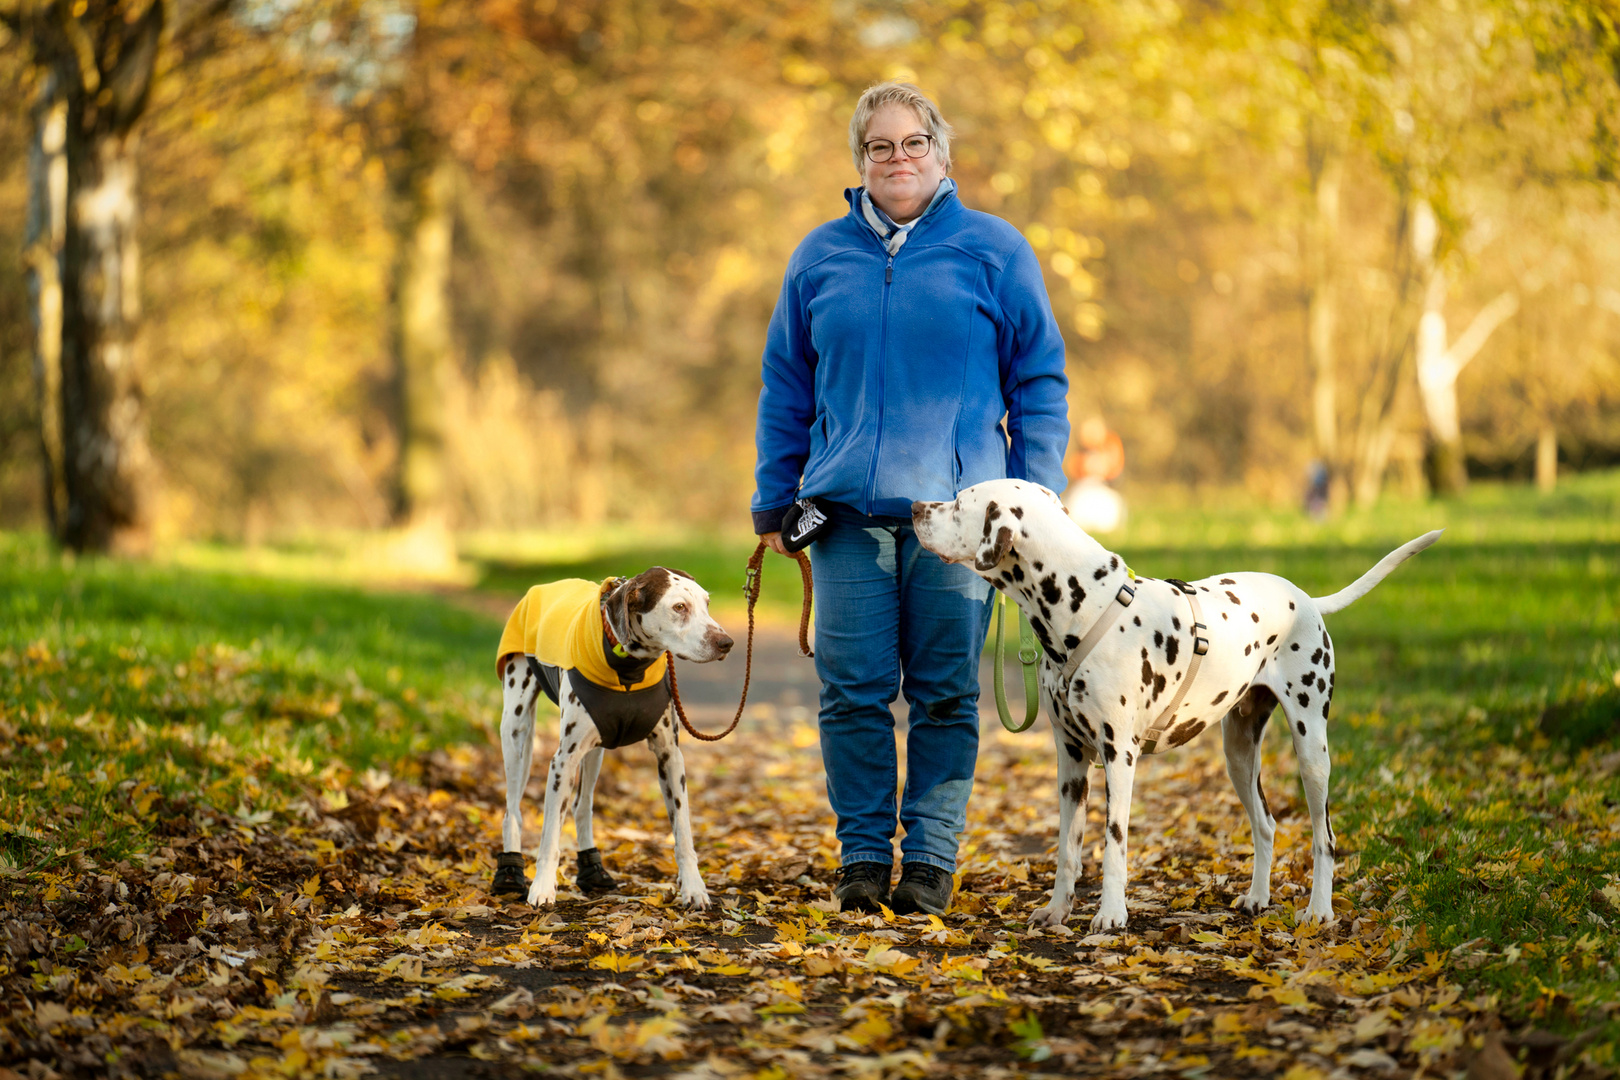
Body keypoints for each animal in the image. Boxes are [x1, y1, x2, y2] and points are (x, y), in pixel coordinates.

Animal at [913, 482, 1445, 932]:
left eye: (959, 502)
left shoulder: (1119, 756)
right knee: (1266, 824)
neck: (1082, 610)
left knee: (1324, 838)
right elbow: (1067, 849)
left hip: (1313, 750)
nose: (915, 508)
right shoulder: (1071, 760)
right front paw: (1057, 910)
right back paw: (1258, 898)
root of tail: (1306, 597)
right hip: (1238, 755)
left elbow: (1113, 844)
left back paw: (1319, 911)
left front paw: (1110, 916)